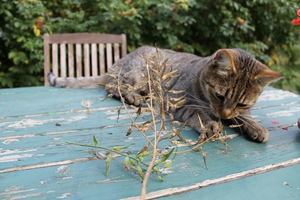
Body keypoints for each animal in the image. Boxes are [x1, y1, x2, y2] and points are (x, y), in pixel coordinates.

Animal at [48, 45, 282, 142]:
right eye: (220, 96)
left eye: (242, 103)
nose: (223, 115)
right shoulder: (177, 101)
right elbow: (196, 113)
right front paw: (209, 124)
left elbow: (244, 117)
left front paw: (255, 127)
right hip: (137, 74)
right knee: (114, 88)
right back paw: (133, 97)